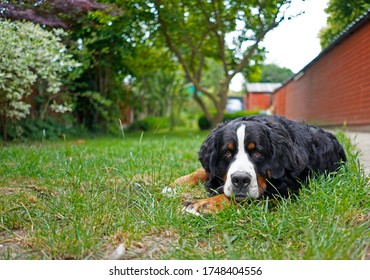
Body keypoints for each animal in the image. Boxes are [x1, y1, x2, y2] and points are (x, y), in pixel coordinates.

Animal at [174, 115, 346, 215]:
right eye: (227, 153)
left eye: (257, 153)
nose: (240, 180)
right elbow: (202, 171)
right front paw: (176, 185)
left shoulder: (286, 190)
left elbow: (244, 198)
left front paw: (202, 205)